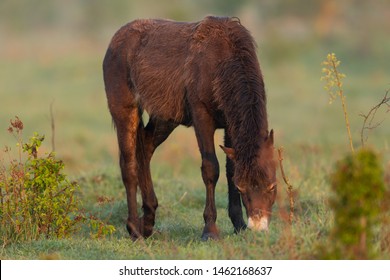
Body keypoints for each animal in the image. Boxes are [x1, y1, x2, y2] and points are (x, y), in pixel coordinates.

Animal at [102, 15, 276, 241]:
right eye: (242, 188)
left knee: (145, 148)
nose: (258, 228)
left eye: (272, 186)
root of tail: (116, 39)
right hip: (124, 109)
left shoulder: (230, 125)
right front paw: (210, 230)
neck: (222, 58)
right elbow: (211, 168)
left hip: (165, 118)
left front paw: (238, 224)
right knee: (129, 165)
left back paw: (148, 220)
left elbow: (230, 169)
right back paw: (134, 229)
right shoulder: (202, 118)